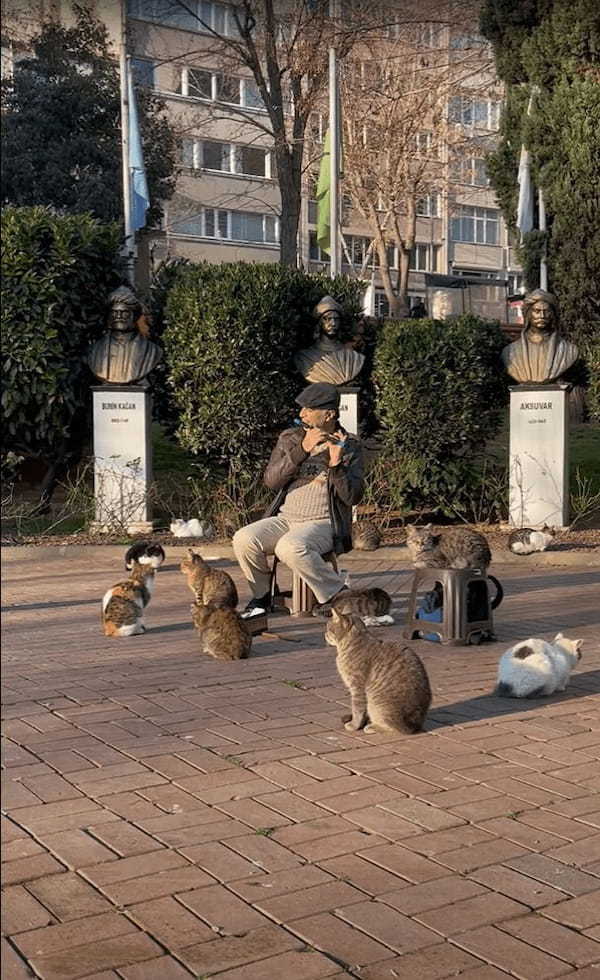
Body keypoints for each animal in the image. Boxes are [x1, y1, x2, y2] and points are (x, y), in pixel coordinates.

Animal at [324, 604, 432, 736]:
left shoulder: (357, 689)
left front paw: (354, 725)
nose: (324, 634)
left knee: (393, 728)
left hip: (376, 704)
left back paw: (372, 727)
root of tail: (414, 726)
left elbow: (357, 710)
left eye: (328, 628)